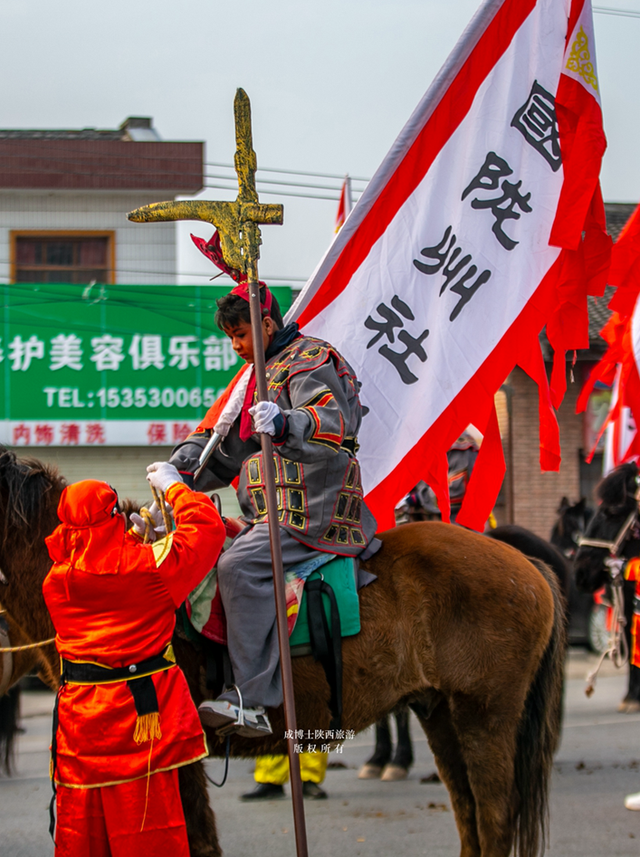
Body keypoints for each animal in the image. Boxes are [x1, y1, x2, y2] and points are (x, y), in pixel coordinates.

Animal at [0, 448, 564, 856]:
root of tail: (526, 565)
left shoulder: (174, 759)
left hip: (486, 716)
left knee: (493, 818)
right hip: (441, 712)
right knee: (469, 815)